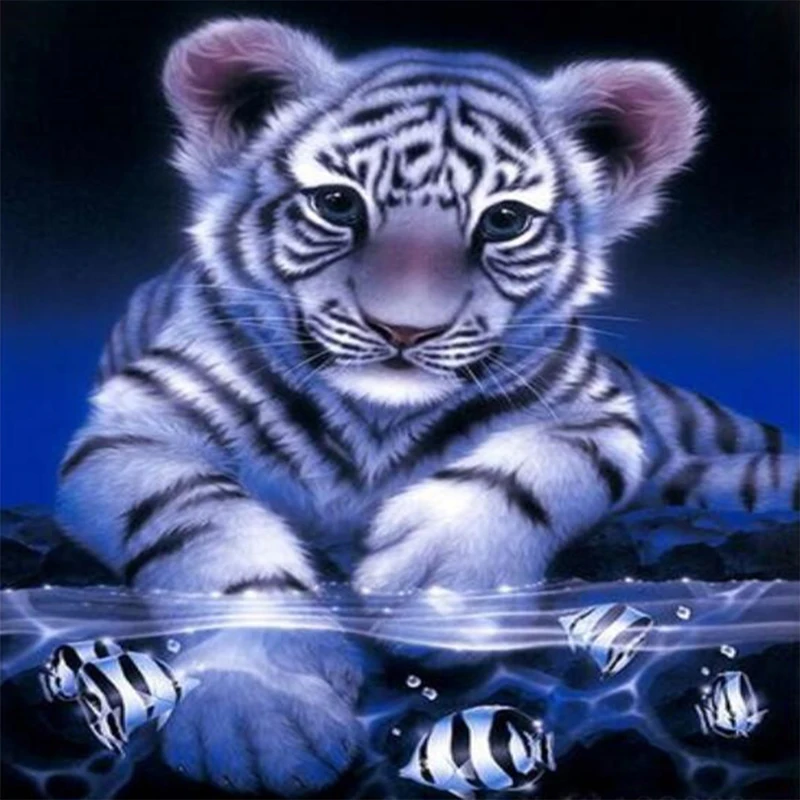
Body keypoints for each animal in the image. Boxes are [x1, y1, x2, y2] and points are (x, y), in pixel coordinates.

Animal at [56, 18, 798, 795]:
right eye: (338, 204)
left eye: (504, 221)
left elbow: (526, 472)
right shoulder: (133, 427)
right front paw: (260, 709)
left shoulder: (597, 414)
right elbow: (206, 533)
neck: (377, 421)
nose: (405, 330)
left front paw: (439, 595)